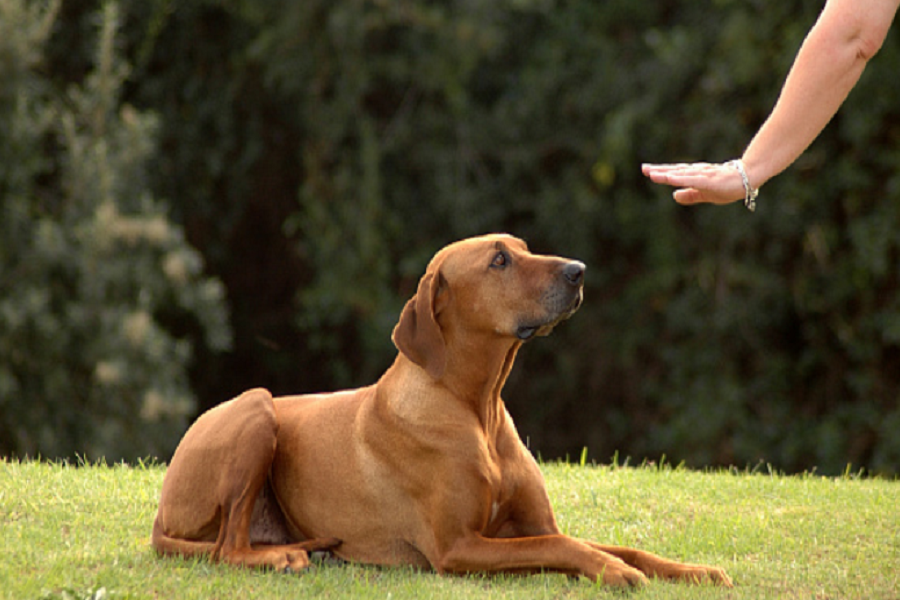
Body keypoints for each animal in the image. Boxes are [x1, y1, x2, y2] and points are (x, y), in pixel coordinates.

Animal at [153, 233, 732, 584]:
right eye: (499, 260)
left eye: (523, 248)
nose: (579, 270)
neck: (478, 408)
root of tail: (160, 513)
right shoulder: (459, 548)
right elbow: (564, 546)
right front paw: (612, 571)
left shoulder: (530, 524)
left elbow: (619, 546)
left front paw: (693, 570)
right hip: (256, 407)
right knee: (227, 547)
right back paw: (281, 556)